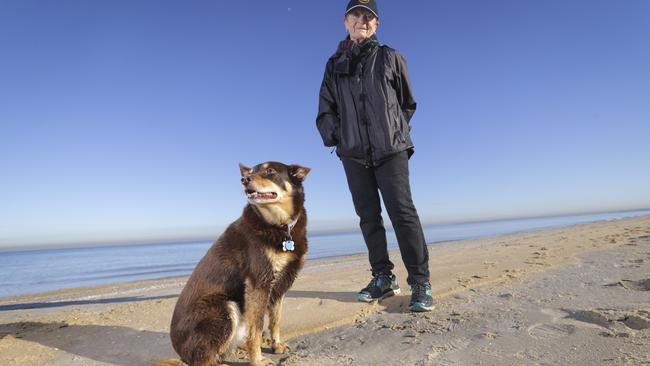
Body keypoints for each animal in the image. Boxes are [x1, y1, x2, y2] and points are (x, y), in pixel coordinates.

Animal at [161, 162, 308, 364]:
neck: (280, 226)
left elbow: (275, 320)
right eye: (251, 171)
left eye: (270, 170)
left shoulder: (281, 284)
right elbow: (257, 328)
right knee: (203, 360)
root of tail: (181, 354)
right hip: (224, 308)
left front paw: (276, 345)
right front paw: (257, 360)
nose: (244, 179)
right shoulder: (258, 283)